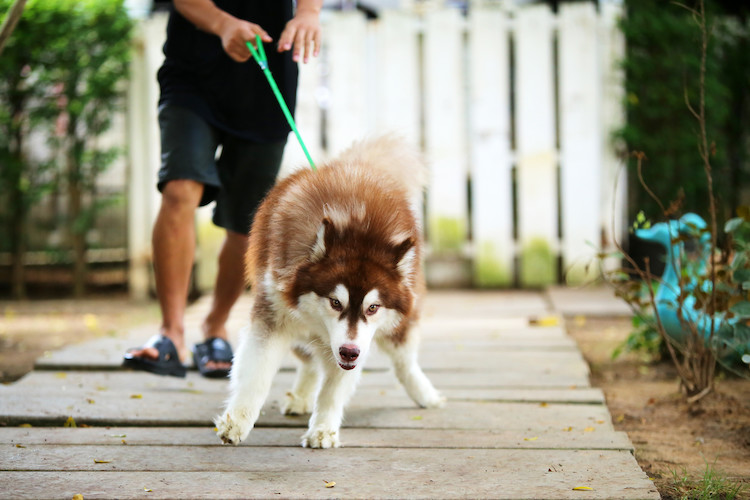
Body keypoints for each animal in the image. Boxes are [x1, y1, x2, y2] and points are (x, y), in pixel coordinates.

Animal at [214, 135, 444, 448]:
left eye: (373, 307)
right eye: (335, 302)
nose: (350, 353)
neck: (357, 225)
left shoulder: (355, 342)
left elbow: (333, 390)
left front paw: (323, 428)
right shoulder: (272, 317)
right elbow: (256, 376)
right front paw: (237, 421)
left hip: (396, 328)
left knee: (404, 362)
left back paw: (425, 394)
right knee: (309, 362)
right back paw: (300, 397)